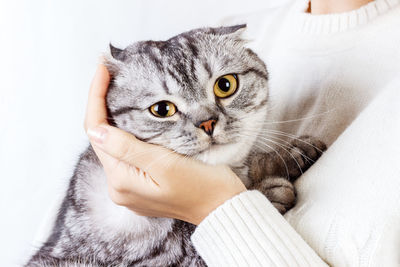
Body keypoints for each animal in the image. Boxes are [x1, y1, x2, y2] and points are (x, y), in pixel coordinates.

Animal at [25, 24, 324, 266]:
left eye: (226, 85)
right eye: (162, 109)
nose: (207, 123)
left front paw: (290, 154)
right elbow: (190, 241)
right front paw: (269, 191)